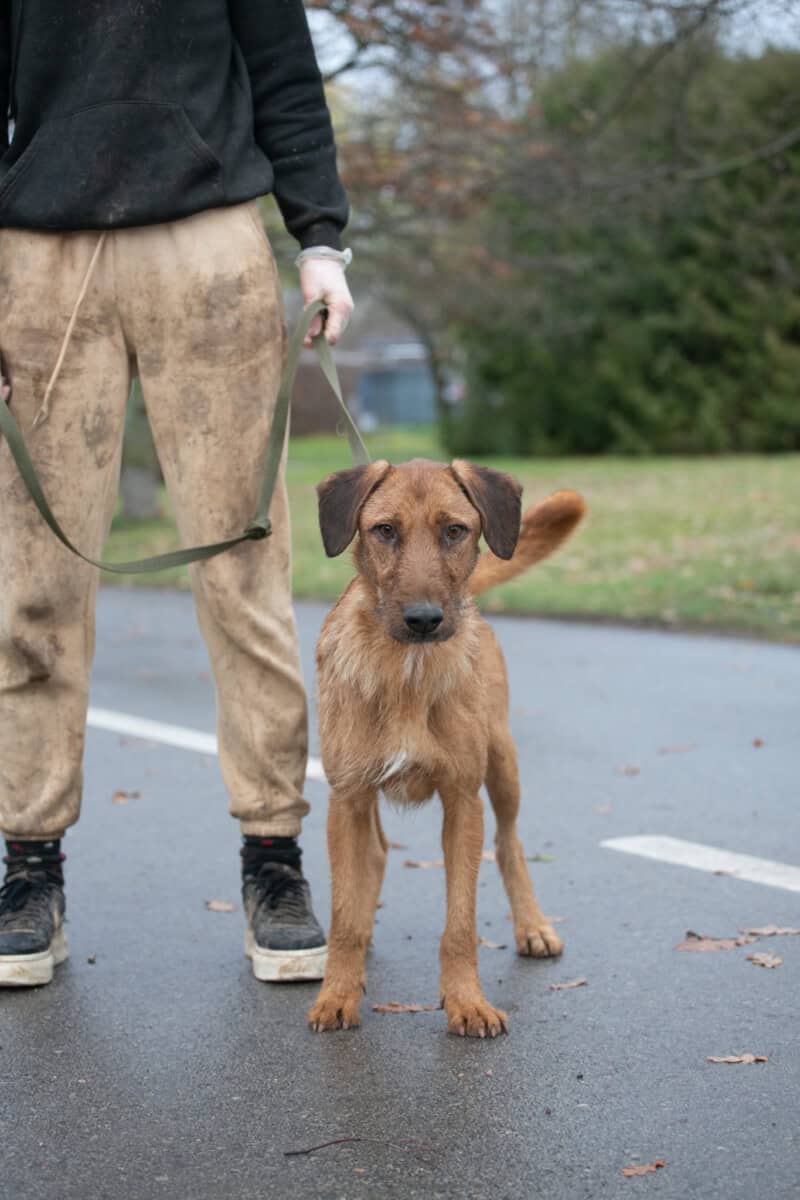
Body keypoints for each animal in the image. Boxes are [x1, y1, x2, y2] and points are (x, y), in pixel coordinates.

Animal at [307, 458, 585, 1037]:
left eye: (455, 530)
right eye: (384, 530)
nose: (424, 618)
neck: (406, 673)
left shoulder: (462, 801)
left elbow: (460, 923)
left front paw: (466, 1002)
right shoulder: (346, 799)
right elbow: (343, 915)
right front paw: (337, 992)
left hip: (503, 768)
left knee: (509, 843)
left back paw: (532, 925)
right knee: (375, 854)